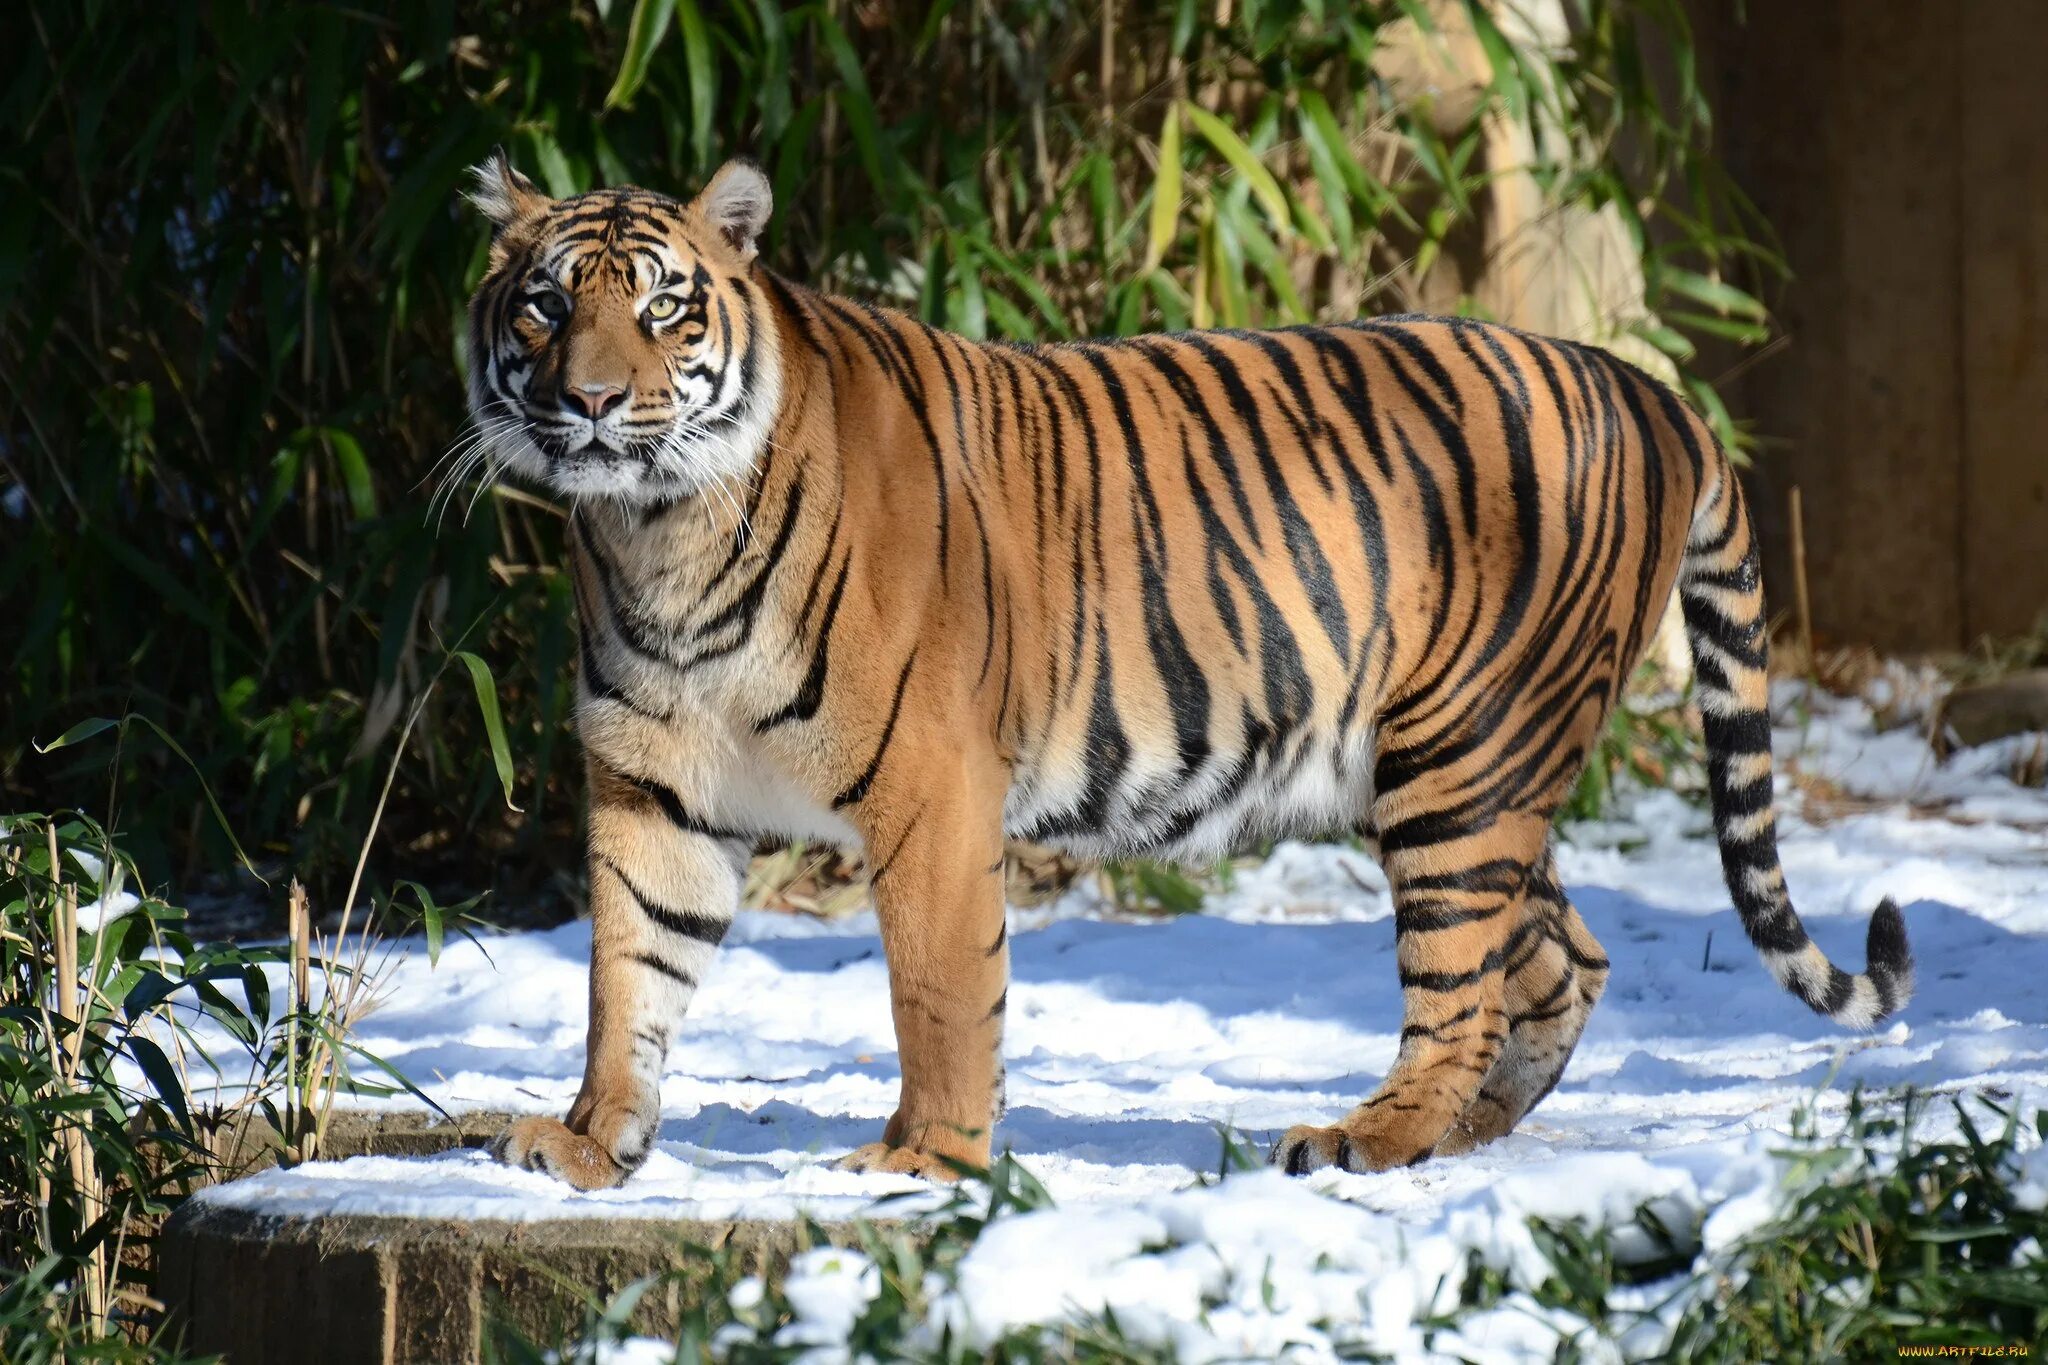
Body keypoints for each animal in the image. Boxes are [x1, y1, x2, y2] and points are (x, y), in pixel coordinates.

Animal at [460, 154, 1900, 1186]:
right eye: (545, 304)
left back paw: (1370, 1137)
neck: (658, 530)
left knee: (1463, 980)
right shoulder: (655, 788)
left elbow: (939, 990)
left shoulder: (930, 790)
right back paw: (1464, 1132)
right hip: (1452, 774)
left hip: (1463, 760)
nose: (592, 402)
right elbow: (627, 973)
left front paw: (925, 1158)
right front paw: (587, 1139)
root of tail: (1652, 392)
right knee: (1560, 958)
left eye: (663, 307)